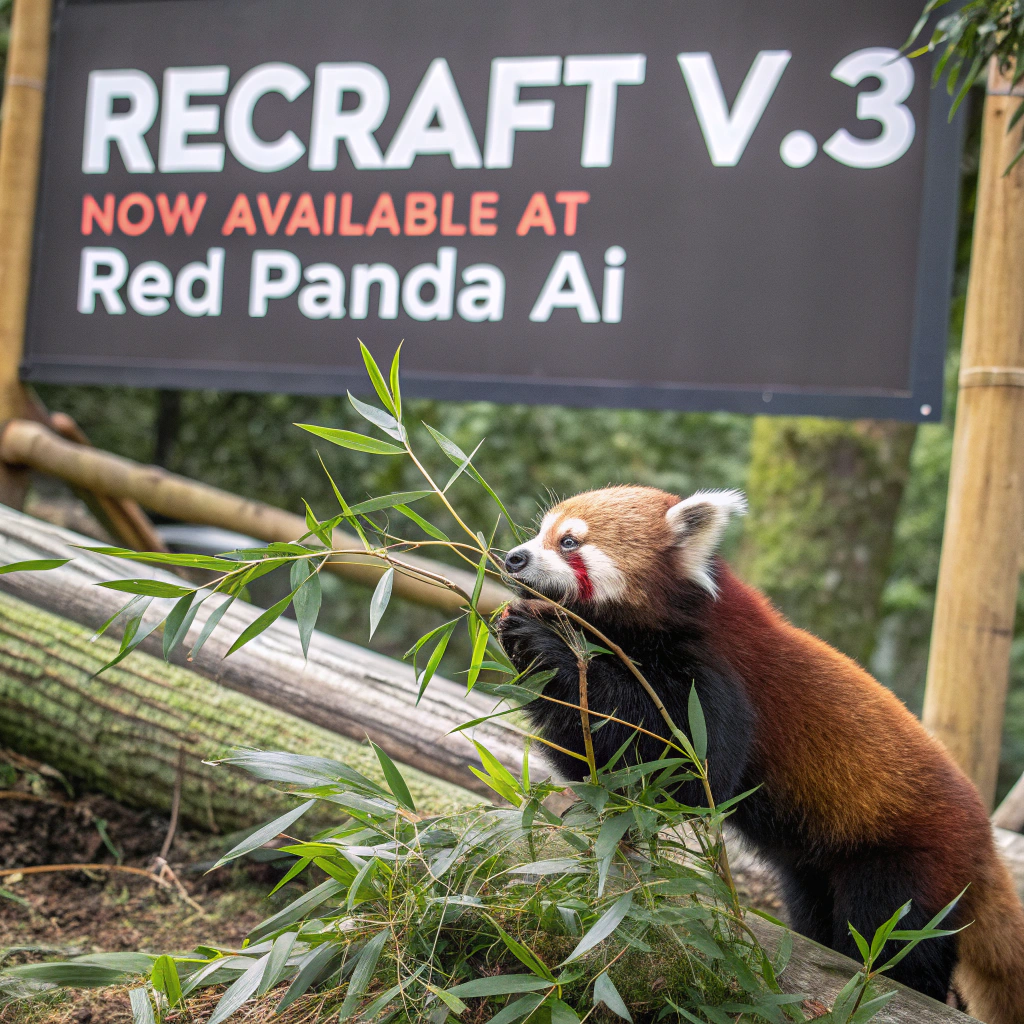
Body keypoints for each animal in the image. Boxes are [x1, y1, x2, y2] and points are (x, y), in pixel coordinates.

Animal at [496, 485, 1024, 1023]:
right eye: (540, 532)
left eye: (569, 542)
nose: (514, 557)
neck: (671, 619)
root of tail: (984, 837)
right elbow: (608, 765)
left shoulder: (719, 678)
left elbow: (688, 772)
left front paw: (545, 644)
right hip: (819, 871)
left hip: (911, 859)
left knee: (895, 939)